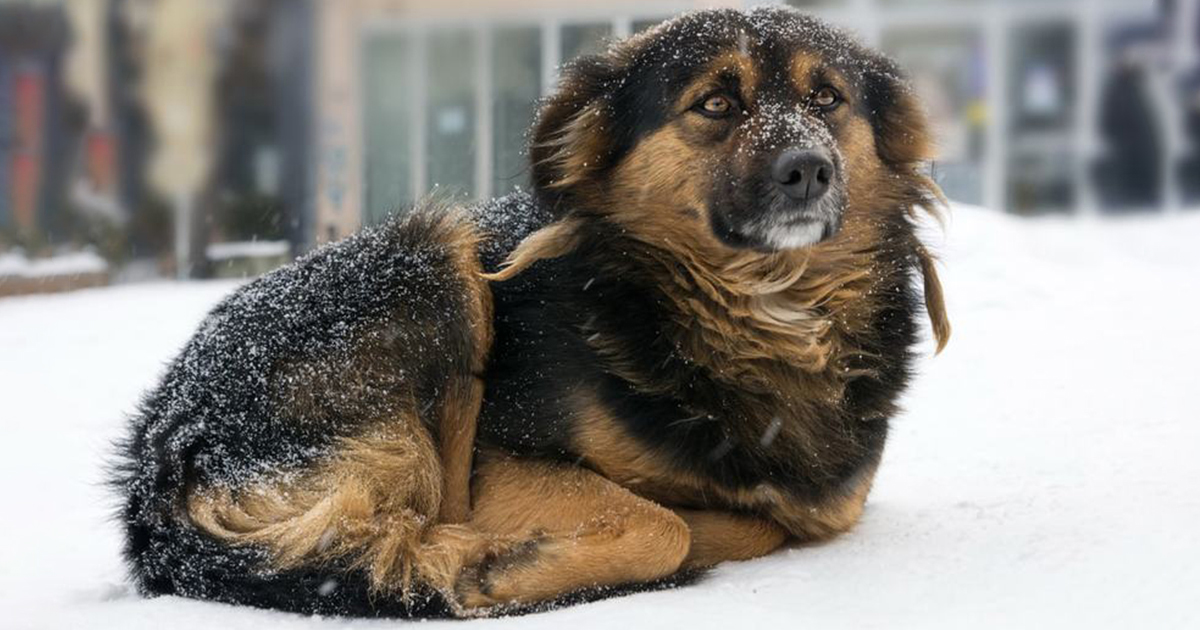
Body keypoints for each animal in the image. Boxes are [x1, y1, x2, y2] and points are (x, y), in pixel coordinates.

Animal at [117, 7, 950, 614]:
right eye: (715, 103)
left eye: (827, 98)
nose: (808, 170)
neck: (764, 306)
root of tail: (157, 472)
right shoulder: (506, 460)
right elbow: (665, 526)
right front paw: (510, 563)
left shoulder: (830, 506)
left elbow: (758, 519)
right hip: (432, 260)